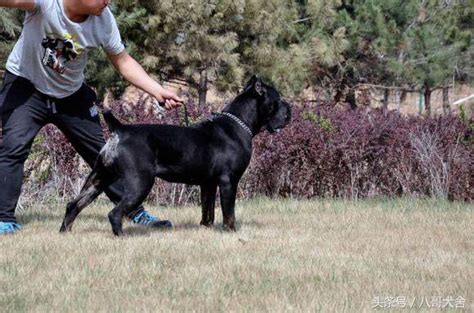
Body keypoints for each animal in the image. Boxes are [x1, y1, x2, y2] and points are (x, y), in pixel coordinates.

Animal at [61, 75, 290, 234]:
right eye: (278, 100)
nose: (290, 108)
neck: (238, 122)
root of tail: (120, 130)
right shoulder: (228, 181)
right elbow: (229, 212)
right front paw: (230, 232)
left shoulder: (208, 183)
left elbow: (208, 210)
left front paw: (206, 228)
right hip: (140, 182)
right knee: (115, 212)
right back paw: (120, 236)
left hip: (98, 178)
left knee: (74, 205)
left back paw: (65, 232)